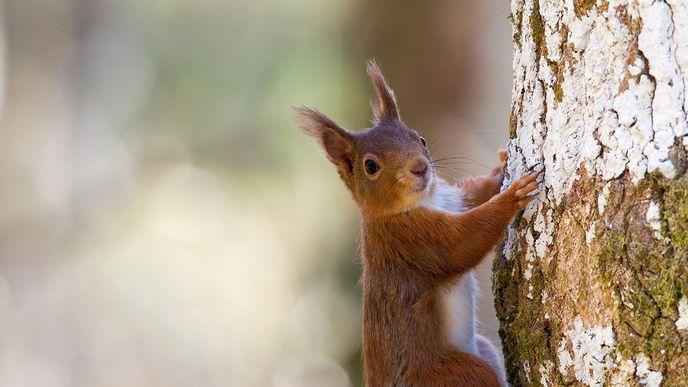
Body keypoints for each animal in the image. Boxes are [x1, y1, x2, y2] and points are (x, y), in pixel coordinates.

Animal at [292, 61, 540, 387]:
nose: (420, 167)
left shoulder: (453, 199)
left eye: (420, 139)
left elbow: (472, 194)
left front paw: (499, 171)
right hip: (457, 373)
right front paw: (514, 195)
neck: (425, 201)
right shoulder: (410, 240)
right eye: (370, 166)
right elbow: (462, 243)